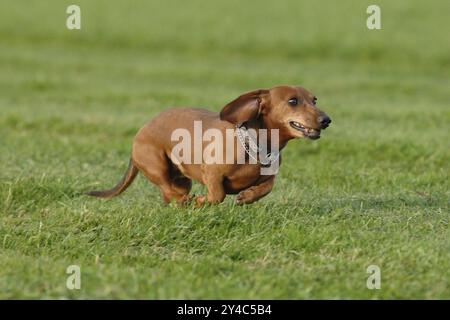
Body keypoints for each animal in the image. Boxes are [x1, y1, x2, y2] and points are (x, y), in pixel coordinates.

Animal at [88, 85, 332, 205]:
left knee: (170, 195)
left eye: (314, 100)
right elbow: (217, 195)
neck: (254, 146)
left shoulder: (268, 178)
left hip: (182, 180)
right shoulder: (212, 173)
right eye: (293, 101)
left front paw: (247, 197)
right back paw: (188, 202)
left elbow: (266, 187)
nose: (326, 120)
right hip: (155, 164)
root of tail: (142, 129)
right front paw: (202, 201)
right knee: (170, 190)